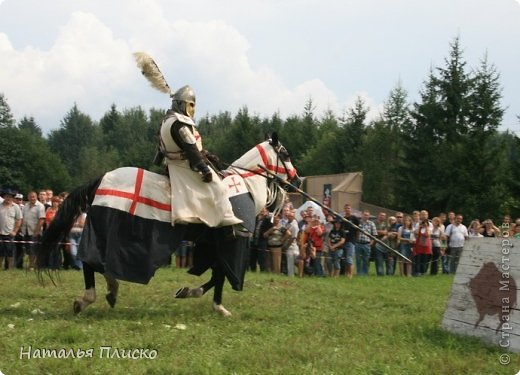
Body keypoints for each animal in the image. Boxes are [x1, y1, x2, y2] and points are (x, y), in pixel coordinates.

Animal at [38, 135, 300, 318]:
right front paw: (210, 302)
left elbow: (216, 273)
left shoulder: (211, 244)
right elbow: (222, 274)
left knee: (98, 263)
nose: (297, 181)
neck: (245, 185)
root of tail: (102, 179)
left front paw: (196, 295)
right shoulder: (231, 243)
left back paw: (110, 290)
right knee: (90, 262)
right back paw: (88, 298)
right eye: (285, 153)